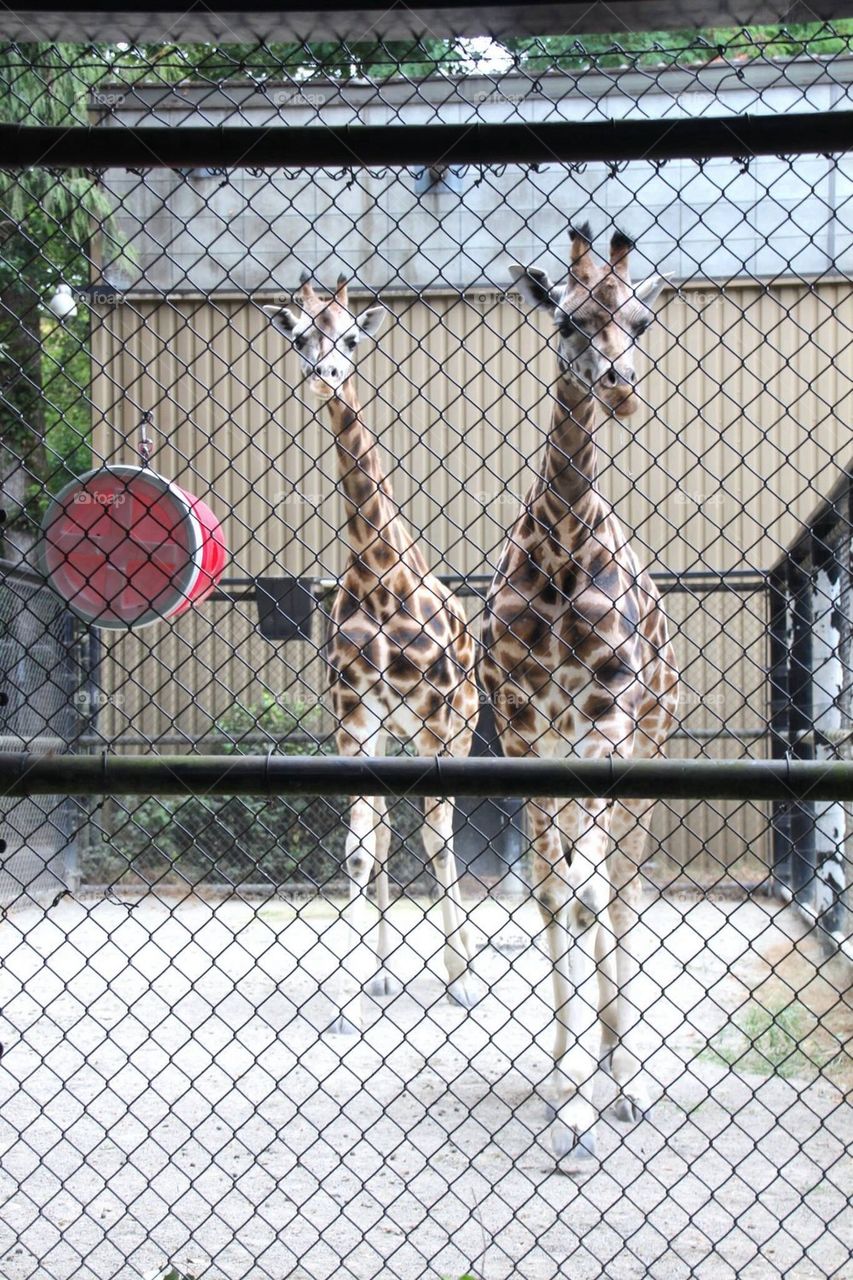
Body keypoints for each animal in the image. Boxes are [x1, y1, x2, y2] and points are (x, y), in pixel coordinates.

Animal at [264, 274, 482, 1034]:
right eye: (301, 334)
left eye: (353, 337)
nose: (326, 372)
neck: (378, 570)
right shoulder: (353, 716)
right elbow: (360, 849)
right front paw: (352, 1001)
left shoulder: (439, 720)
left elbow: (439, 841)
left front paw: (458, 981)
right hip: (392, 732)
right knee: (387, 832)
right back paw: (385, 975)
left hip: (457, 726)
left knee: (438, 832)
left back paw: (454, 972)